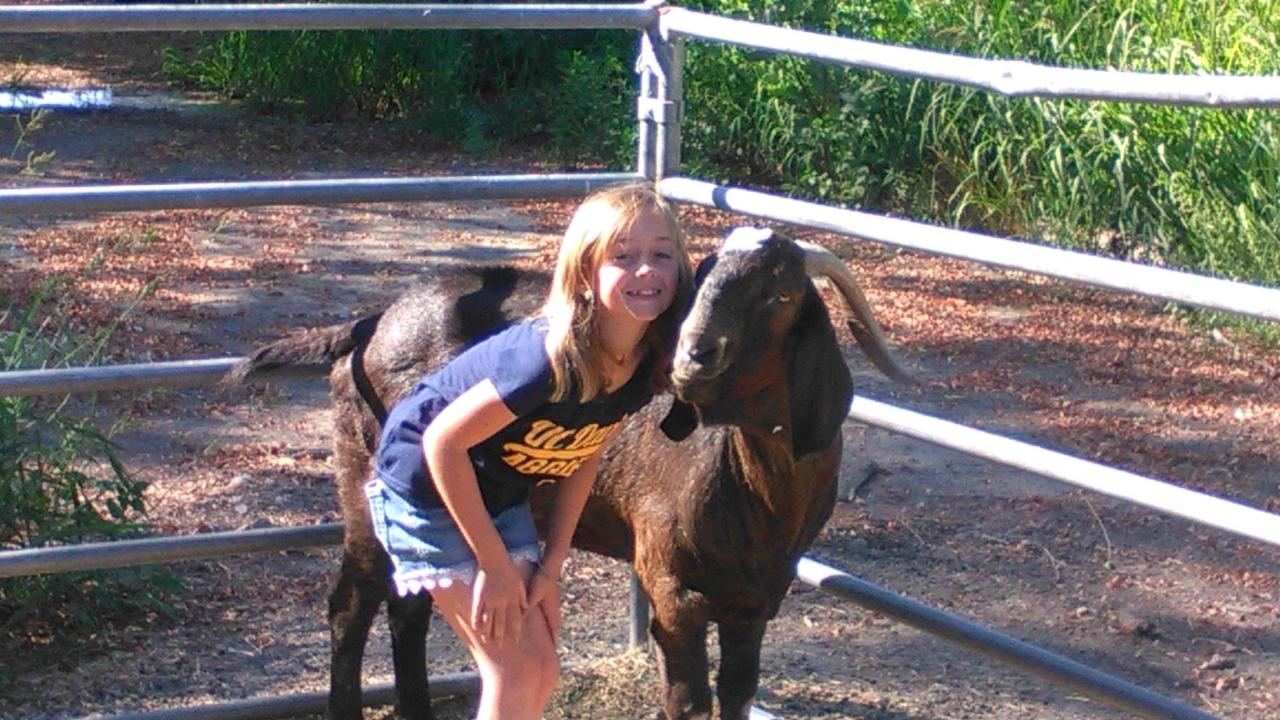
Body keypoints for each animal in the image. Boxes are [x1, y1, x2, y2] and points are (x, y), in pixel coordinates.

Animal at [225, 225, 906, 717]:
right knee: (351, 604)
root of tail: (368, 325)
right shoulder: (671, 589)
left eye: (782, 294)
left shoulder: (757, 599)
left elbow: (737, 696)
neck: (759, 496)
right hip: (366, 485)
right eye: (700, 284)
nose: (693, 357)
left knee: (407, 608)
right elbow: (688, 701)